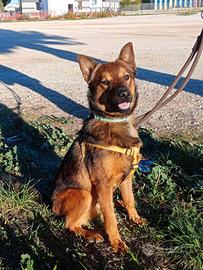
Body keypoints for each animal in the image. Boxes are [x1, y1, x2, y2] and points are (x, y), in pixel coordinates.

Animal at [52, 41, 144, 251]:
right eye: (105, 82)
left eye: (126, 77)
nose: (124, 93)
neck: (116, 123)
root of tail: (51, 205)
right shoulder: (103, 184)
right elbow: (111, 218)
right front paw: (116, 242)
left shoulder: (127, 180)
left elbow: (130, 200)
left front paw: (134, 217)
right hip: (84, 194)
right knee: (71, 224)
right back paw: (91, 234)